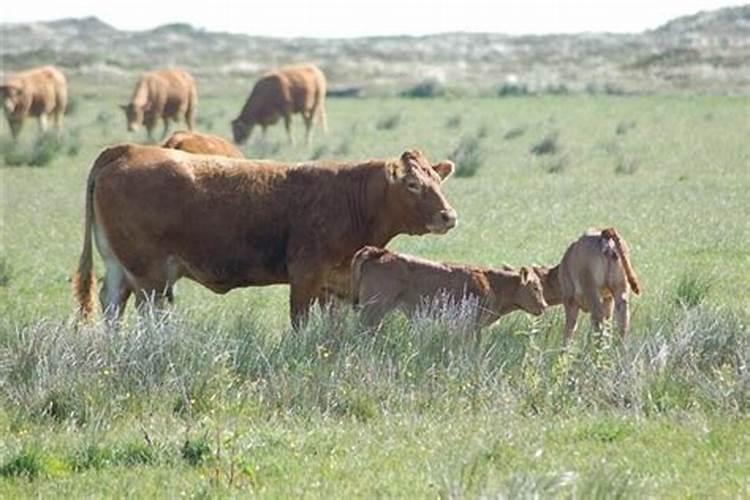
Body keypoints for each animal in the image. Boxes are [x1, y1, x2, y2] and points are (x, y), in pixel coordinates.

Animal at [73, 146, 458, 326]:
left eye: (437, 181)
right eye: (412, 184)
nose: (448, 216)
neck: (349, 197)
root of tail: (128, 149)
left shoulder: (336, 283)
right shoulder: (305, 275)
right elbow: (300, 321)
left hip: (119, 267)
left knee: (112, 305)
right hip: (148, 273)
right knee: (148, 312)